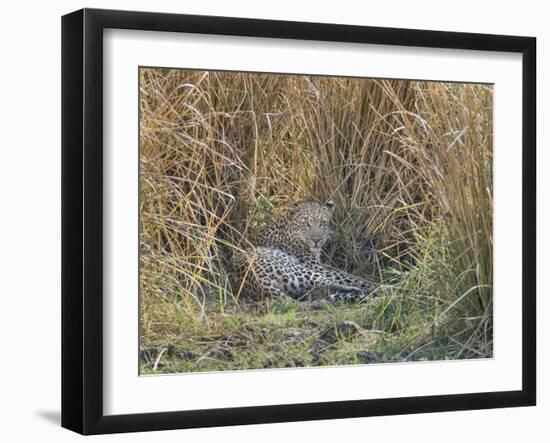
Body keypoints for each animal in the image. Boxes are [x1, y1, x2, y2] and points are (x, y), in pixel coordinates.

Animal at [233, 200, 376, 302]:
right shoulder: (316, 267)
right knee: (332, 282)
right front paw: (373, 285)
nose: (316, 240)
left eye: (322, 223)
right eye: (306, 224)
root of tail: (261, 284)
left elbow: (347, 275)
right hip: (303, 271)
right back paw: (367, 292)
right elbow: (349, 277)